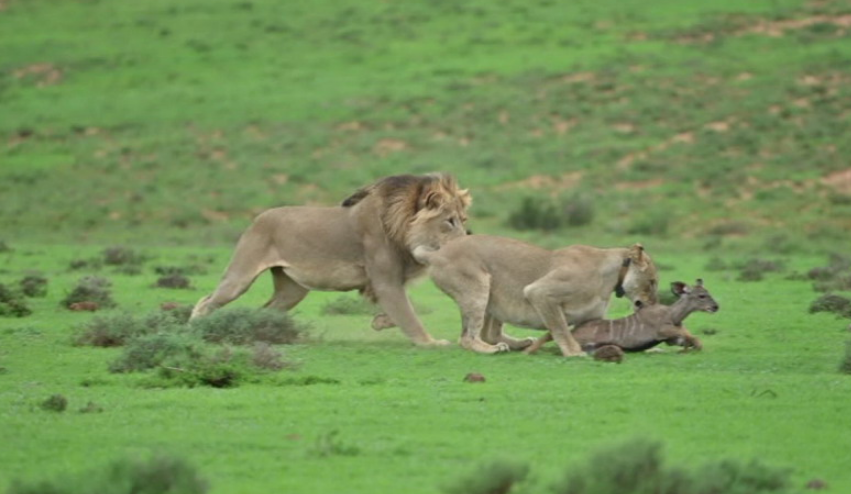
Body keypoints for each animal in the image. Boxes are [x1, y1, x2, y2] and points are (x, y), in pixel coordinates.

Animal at [191, 173, 472, 346]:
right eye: (449, 221)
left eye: (463, 219)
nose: (467, 240)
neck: (401, 228)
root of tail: (257, 218)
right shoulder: (385, 282)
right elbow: (409, 315)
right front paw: (431, 342)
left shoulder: (389, 283)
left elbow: (404, 309)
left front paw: (380, 322)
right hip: (241, 276)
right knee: (207, 301)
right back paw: (195, 329)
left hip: (292, 290)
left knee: (267, 309)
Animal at [413, 236, 659, 356]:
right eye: (653, 282)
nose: (654, 304)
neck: (612, 277)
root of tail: (437, 253)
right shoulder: (540, 291)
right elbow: (560, 327)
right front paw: (574, 352)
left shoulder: (592, 318)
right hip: (478, 287)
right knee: (467, 337)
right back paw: (491, 350)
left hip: (494, 296)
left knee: (489, 332)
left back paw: (520, 343)